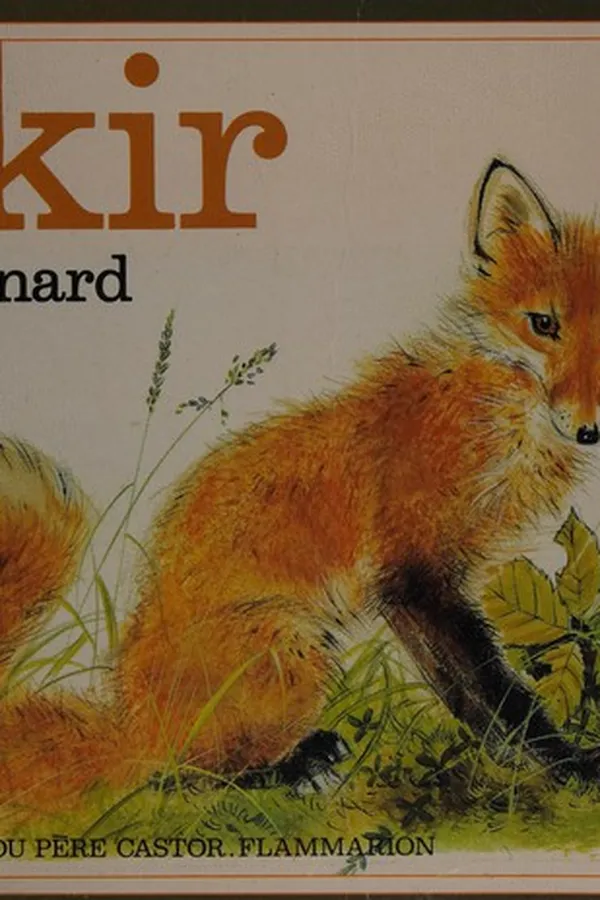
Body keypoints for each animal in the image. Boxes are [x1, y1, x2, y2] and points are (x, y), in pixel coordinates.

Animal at [3, 157, 600, 823]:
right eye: (543, 324)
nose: (588, 428)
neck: (497, 427)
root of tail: (131, 716)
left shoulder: (431, 581)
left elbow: (478, 695)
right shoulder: (413, 573)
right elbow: (493, 694)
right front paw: (566, 764)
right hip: (292, 649)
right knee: (181, 774)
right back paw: (297, 766)